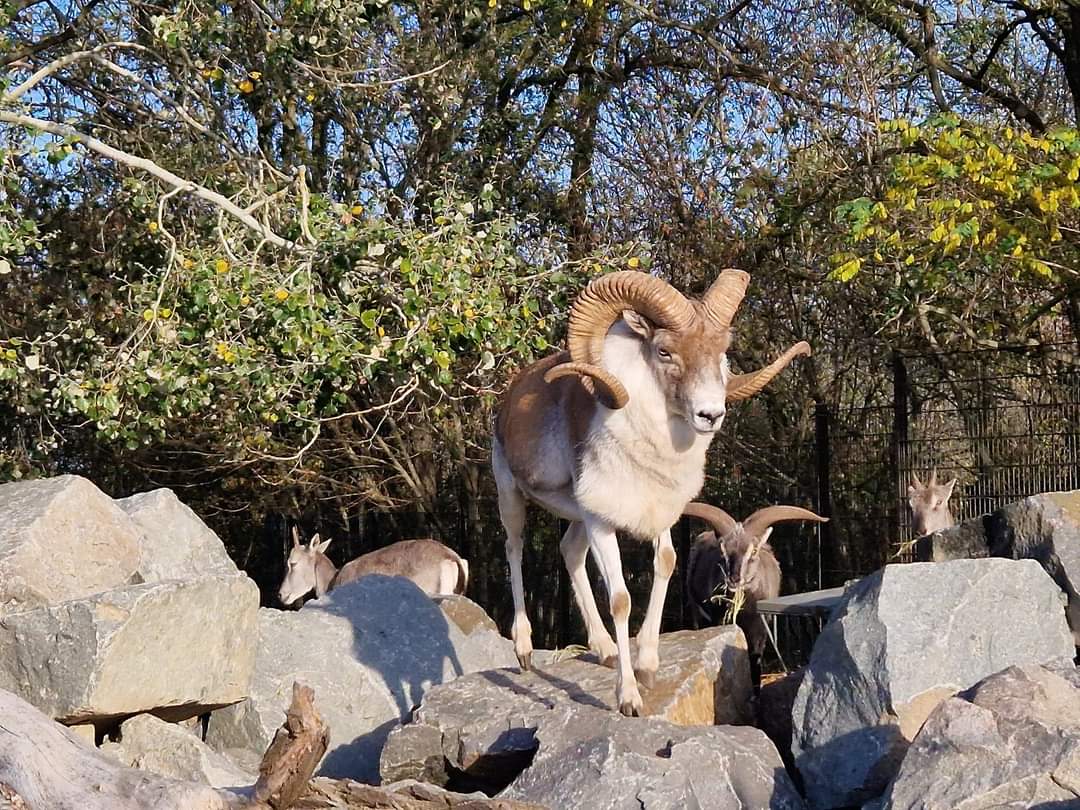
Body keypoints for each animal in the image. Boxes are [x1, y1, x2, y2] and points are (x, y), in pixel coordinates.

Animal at [492, 268, 811, 715]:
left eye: (722, 350)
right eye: (664, 351)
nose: (710, 415)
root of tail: (508, 399)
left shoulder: (657, 514)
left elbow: (665, 565)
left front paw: (647, 667)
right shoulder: (602, 523)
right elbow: (621, 600)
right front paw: (629, 697)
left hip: (576, 518)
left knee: (570, 554)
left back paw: (606, 650)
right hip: (512, 496)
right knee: (515, 548)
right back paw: (523, 651)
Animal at [682, 501, 828, 689]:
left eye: (753, 551)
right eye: (723, 551)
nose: (734, 579)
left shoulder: (759, 626)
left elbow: (755, 657)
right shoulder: (720, 621)